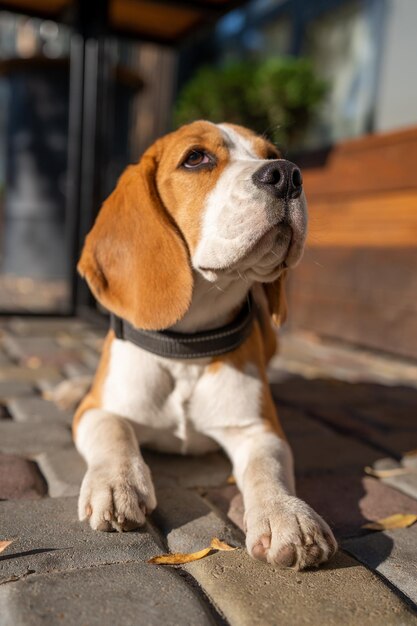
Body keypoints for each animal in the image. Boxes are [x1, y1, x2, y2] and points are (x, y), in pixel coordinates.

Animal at [73, 119, 336, 568]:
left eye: (271, 155)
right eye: (196, 158)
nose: (287, 174)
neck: (187, 348)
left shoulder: (259, 429)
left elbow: (267, 467)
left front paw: (287, 514)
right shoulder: (94, 409)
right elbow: (113, 430)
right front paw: (116, 482)